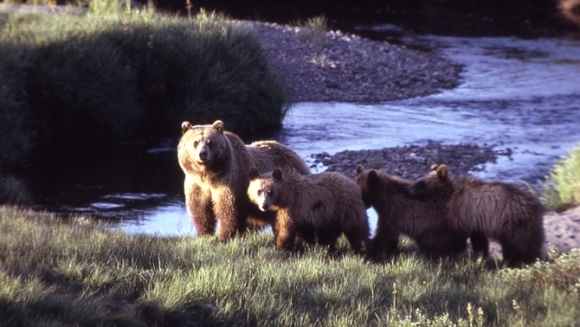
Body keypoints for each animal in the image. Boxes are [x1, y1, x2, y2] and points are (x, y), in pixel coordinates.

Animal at [179, 121, 310, 242]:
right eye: (195, 142)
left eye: (210, 142)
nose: (202, 154)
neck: (208, 176)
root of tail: (296, 156)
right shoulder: (197, 185)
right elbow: (200, 209)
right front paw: (204, 234)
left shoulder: (229, 182)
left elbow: (229, 209)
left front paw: (224, 237)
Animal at [408, 165, 544, 268]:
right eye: (417, 179)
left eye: (420, 183)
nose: (407, 189)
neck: (448, 195)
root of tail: (535, 205)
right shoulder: (475, 220)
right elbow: (479, 239)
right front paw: (480, 255)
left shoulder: (462, 213)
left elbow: (459, 236)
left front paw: (456, 250)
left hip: (514, 225)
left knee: (520, 246)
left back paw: (519, 262)